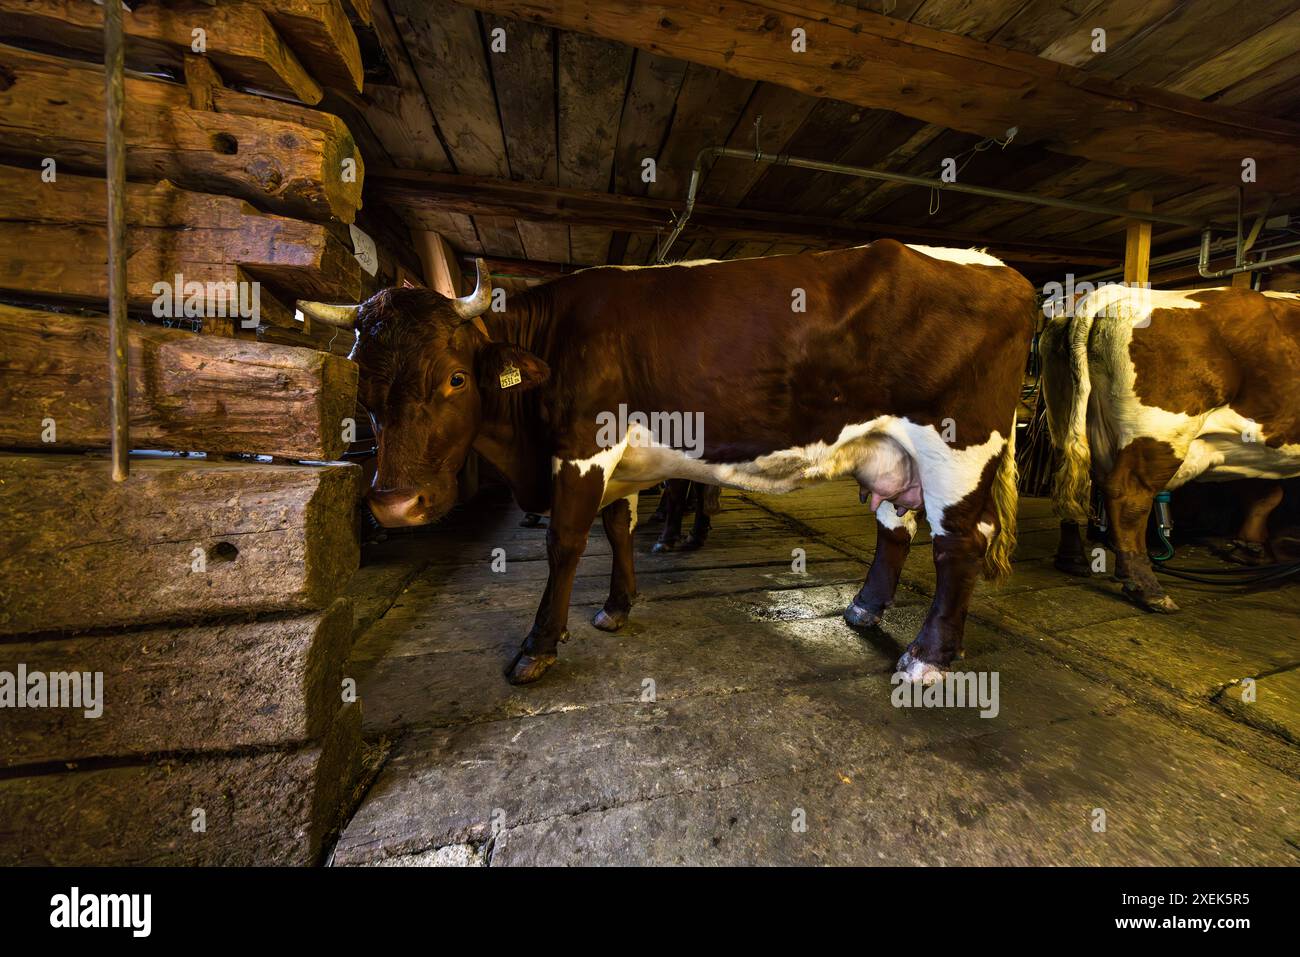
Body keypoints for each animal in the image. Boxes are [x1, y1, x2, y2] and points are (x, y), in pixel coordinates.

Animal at [297, 243, 1034, 686]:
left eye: (455, 378)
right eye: (363, 384)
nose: (394, 504)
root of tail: (1002, 267)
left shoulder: (583, 443)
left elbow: (566, 540)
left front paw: (538, 645)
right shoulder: (621, 463)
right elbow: (617, 528)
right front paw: (617, 606)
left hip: (957, 445)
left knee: (958, 545)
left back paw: (926, 659)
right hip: (893, 454)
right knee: (896, 529)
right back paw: (863, 611)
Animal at [1034, 286, 1300, 613]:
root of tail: (1114, 292)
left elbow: (1266, 494)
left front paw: (1250, 548)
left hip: (1063, 413)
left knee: (1071, 482)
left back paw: (1074, 559)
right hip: (1160, 431)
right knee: (1128, 495)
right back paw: (1147, 589)